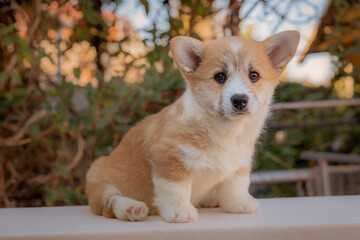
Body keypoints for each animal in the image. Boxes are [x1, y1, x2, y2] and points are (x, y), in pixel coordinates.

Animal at [86, 30, 300, 223]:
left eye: (254, 75)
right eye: (219, 77)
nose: (239, 100)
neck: (225, 130)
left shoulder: (239, 161)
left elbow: (236, 184)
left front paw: (239, 204)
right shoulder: (169, 158)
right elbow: (175, 188)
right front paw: (179, 212)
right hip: (98, 178)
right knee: (110, 202)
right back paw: (132, 208)